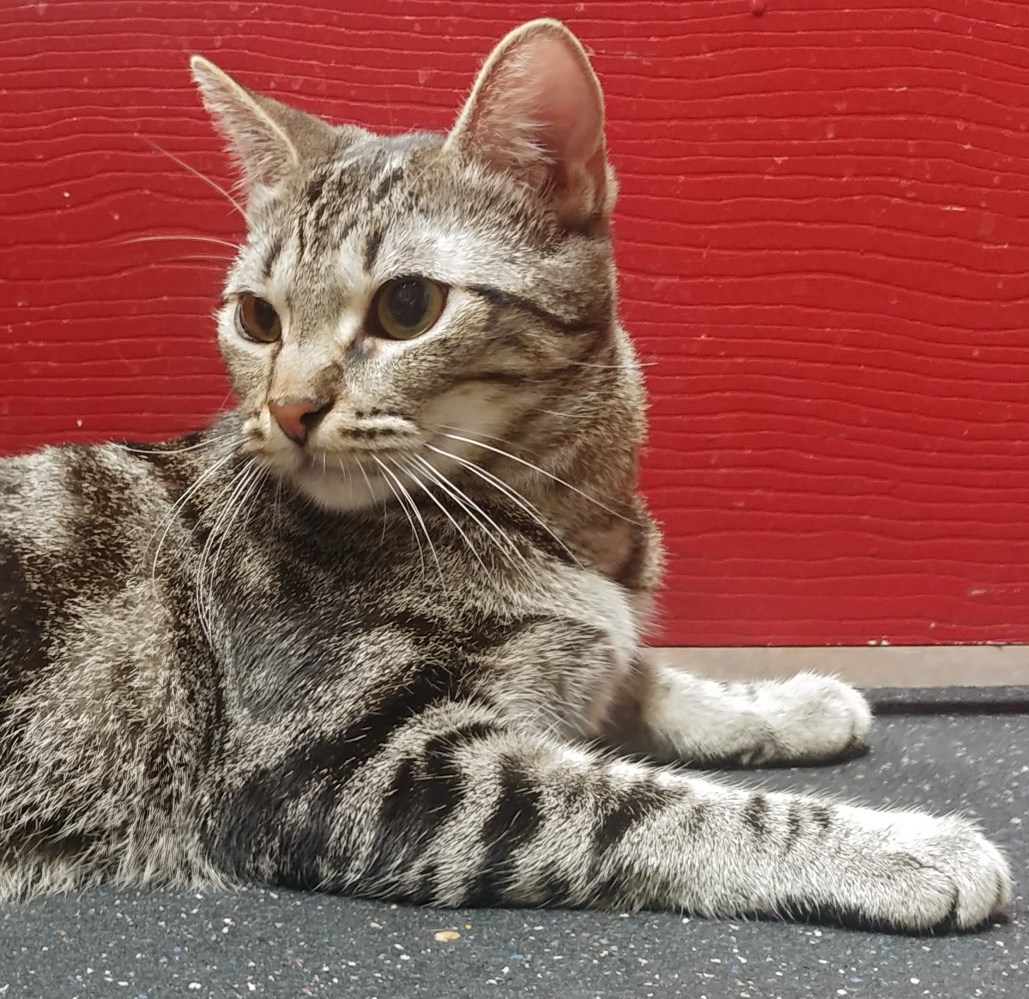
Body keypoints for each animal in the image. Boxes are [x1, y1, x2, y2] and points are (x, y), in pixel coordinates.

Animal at [0, 19, 1012, 934]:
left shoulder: (569, 668)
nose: (286, 409)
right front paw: (897, 846)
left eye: (407, 306)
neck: (560, 520)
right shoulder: (349, 770)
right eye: (257, 319)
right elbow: (645, 802)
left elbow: (647, 680)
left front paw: (787, 702)